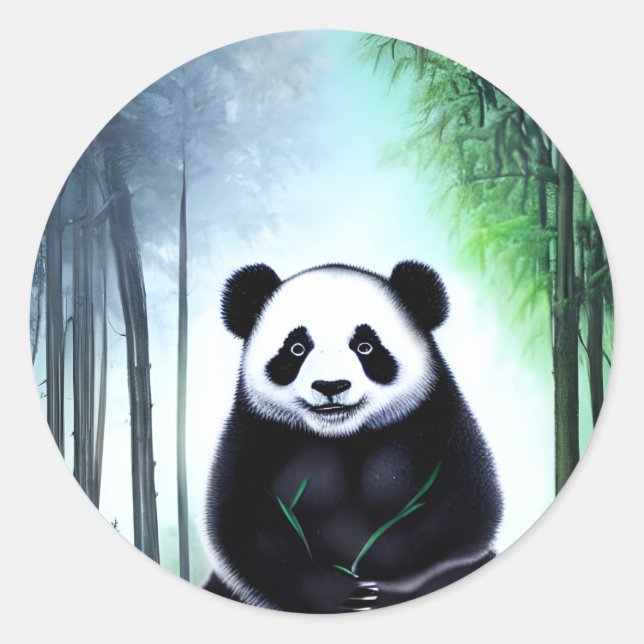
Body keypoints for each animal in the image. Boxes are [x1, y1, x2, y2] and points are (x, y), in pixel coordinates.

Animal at [203, 260, 502, 613]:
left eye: (365, 347)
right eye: (297, 348)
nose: (331, 386)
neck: (345, 435)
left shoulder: (434, 422)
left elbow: (461, 513)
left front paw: (378, 583)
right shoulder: (259, 433)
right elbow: (246, 527)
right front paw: (341, 594)